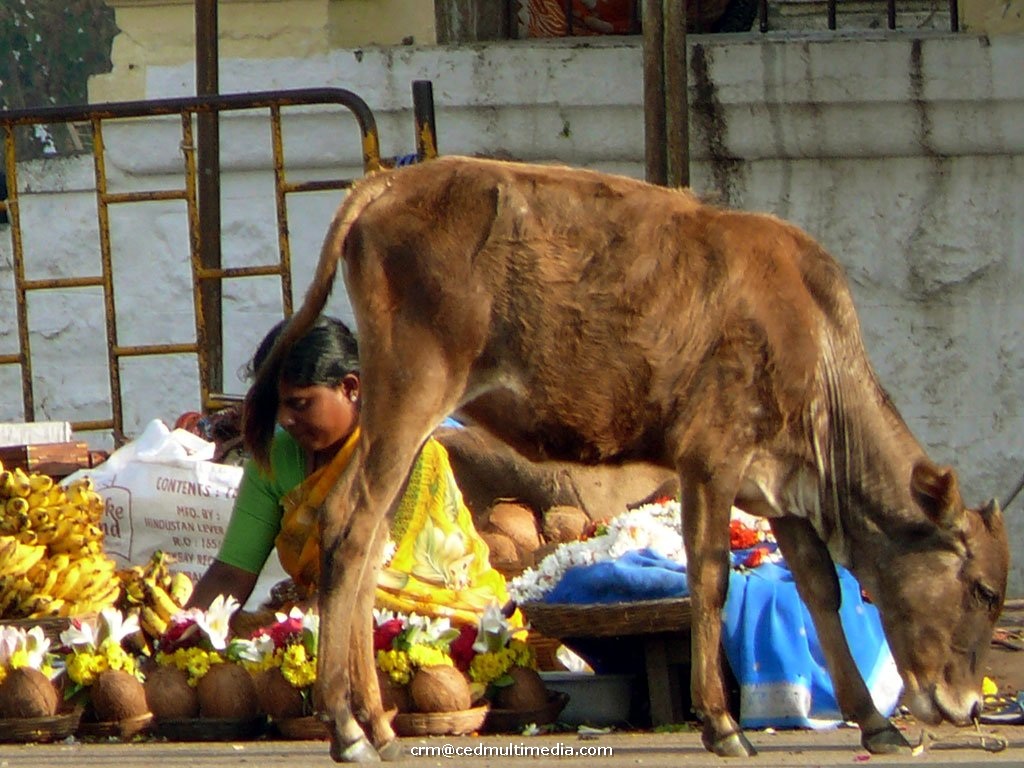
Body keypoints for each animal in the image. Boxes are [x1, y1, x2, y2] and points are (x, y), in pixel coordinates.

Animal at [245, 157, 1007, 765]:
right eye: (981, 591)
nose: (967, 705)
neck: (814, 347)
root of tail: (392, 181)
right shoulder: (711, 458)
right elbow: (710, 581)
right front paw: (722, 724)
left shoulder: (780, 485)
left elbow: (821, 588)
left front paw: (877, 722)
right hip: (412, 393)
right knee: (350, 529)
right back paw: (346, 728)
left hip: (396, 421)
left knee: (368, 539)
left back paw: (377, 724)